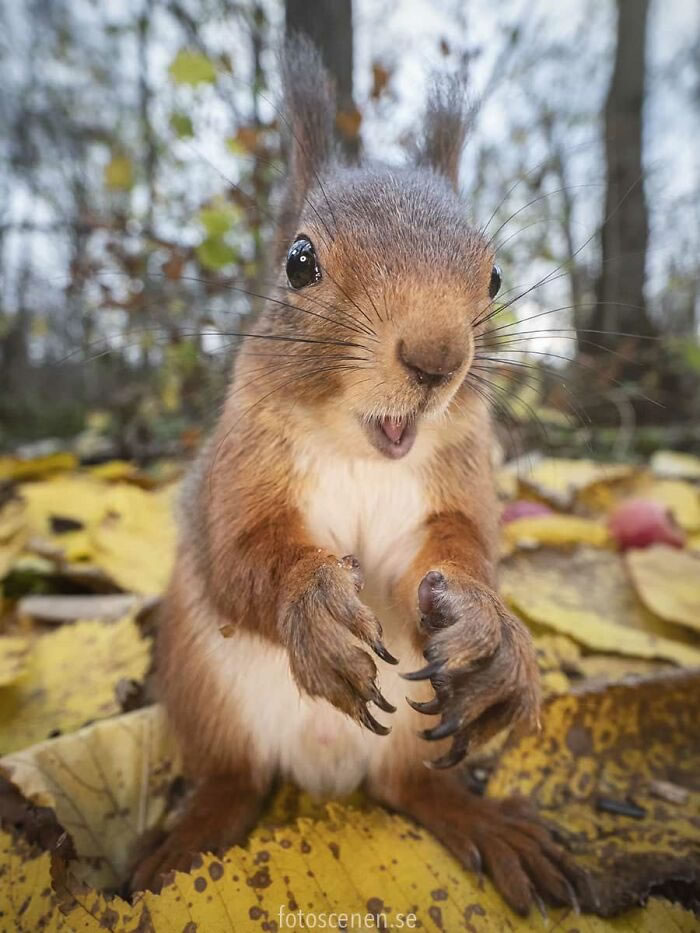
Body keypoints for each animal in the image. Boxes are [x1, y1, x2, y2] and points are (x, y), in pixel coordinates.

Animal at [133, 38, 584, 916]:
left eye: (495, 276)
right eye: (299, 261)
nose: (437, 357)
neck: (364, 450)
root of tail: (325, 771)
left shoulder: (452, 489)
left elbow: (456, 554)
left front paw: (491, 629)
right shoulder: (233, 474)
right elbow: (239, 553)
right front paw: (313, 605)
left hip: (416, 725)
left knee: (411, 788)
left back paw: (486, 821)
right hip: (199, 684)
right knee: (235, 779)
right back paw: (182, 845)